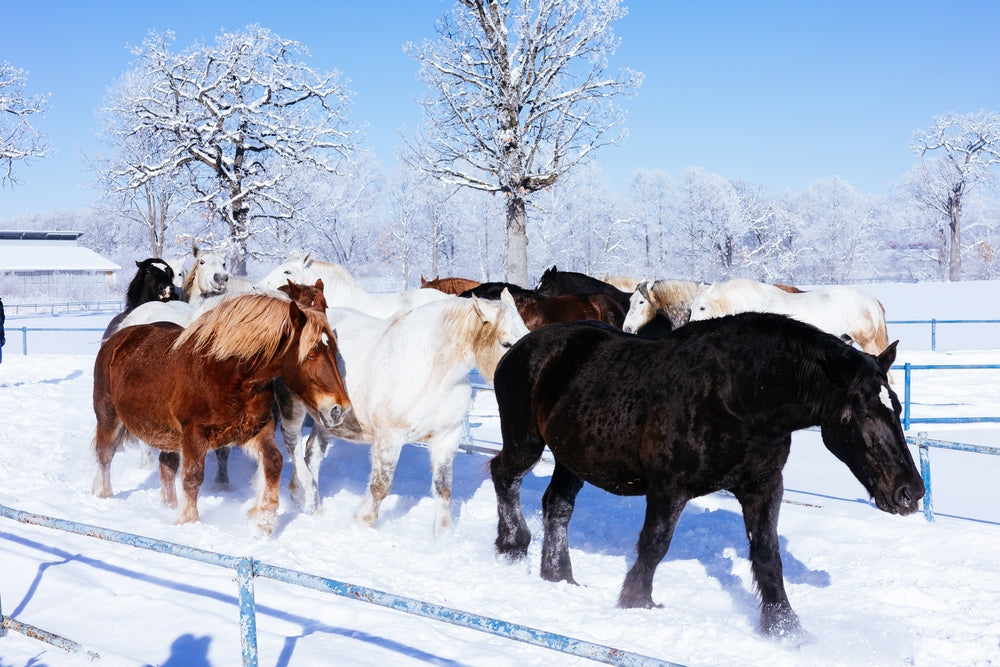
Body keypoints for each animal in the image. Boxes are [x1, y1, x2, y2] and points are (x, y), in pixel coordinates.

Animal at [92, 292, 351, 535]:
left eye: (335, 351)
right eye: (311, 354)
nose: (340, 408)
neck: (229, 373)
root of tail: (117, 337)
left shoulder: (256, 428)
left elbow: (273, 462)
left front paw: (263, 522)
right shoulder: (194, 434)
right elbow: (193, 477)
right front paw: (189, 522)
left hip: (168, 436)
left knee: (166, 467)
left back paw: (168, 506)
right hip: (108, 417)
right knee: (105, 454)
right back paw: (103, 494)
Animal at [275, 289, 529, 534]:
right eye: (506, 344)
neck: (431, 372)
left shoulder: (447, 438)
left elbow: (444, 487)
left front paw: (444, 535)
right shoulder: (389, 439)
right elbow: (380, 486)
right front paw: (361, 524)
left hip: (329, 416)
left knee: (313, 454)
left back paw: (314, 506)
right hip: (294, 406)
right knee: (293, 444)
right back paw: (300, 492)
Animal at [488, 313, 923, 638]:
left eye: (897, 407)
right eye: (862, 413)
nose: (911, 492)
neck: (739, 394)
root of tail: (522, 348)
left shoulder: (763, 487)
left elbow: (768, 556)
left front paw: (784, 628)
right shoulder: (668, 489)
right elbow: (654, 546)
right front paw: (636, 604)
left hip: (572, 458)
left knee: (557, 506)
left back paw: (559, 576)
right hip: (526, 442)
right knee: (503, 475)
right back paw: (512, 545)